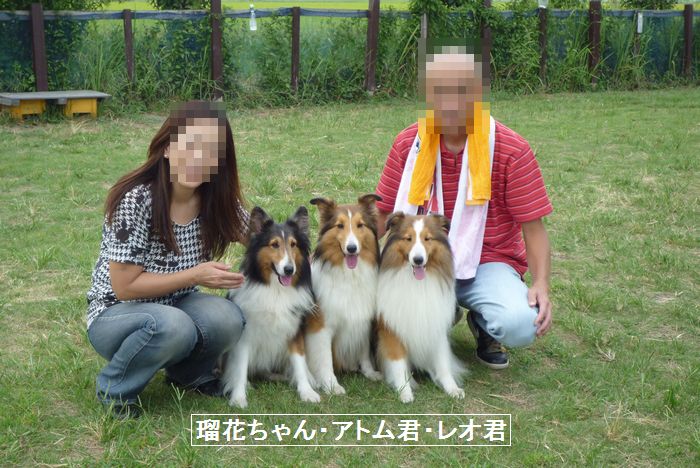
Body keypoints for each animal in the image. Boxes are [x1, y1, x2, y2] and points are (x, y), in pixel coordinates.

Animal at [222, 206, 320, 408]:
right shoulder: (246, 335)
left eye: (293, 244)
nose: (289, 269)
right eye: (274, 244)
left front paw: (306, 391)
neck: (276, 290)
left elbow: (299, 362)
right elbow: (240, 368)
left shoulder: (294, 330)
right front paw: (238, 396)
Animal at [304, 194, 384, 394]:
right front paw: (331, 385)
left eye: (360, 225)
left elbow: (364, 352)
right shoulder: (321, 327)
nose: (352, 248)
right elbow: (324, 359)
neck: (349, 276)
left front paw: (370, 372)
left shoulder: (362, 320)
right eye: (339, 225)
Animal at [375, 212, 466, 403]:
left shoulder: (435, 326)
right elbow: (398, 364)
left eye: (427, 238)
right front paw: (405, 391)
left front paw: (452, 387)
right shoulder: (392, 330)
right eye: (408, 238)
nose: (418, 260)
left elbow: (442, 362)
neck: (417, 283)